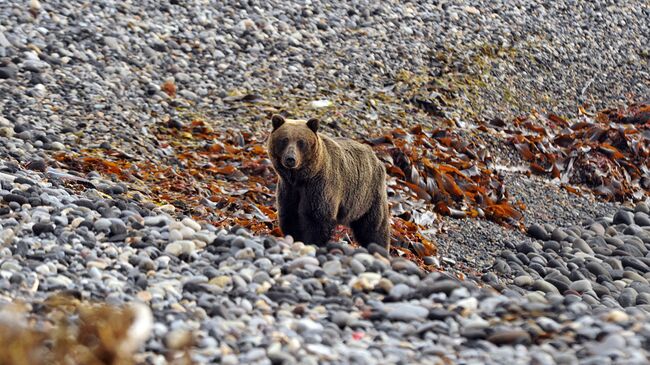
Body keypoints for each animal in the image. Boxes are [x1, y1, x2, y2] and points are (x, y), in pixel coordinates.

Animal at [264, 114, 388, 250]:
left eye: (301, 142)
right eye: (284, 140)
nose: (290, 159)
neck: (300, 178)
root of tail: (376, 157)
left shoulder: (319, 187)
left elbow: (317, 218)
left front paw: (313, 242)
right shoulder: (288, 189)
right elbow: (290, 215)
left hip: (368, 197)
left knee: (374, 227)